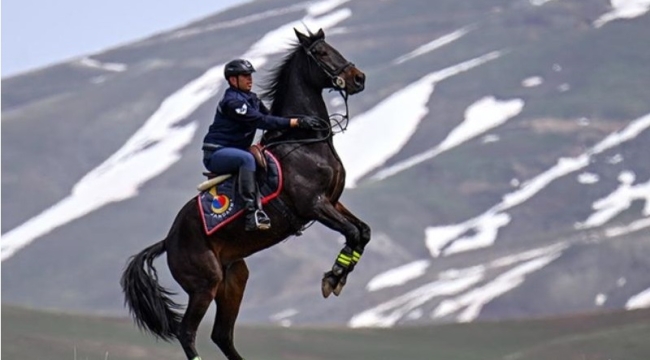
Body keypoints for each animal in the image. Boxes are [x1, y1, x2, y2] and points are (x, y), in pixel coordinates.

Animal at [119, 28, 368, 360]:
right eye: (322, 53)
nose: (358, 78)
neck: (305, 142)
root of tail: (168, 241)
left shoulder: (333, 202)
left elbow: (363, 232)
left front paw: (337, 277)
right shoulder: (314, 205)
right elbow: (352, 232)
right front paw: (333, 278)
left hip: (233, 279)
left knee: (222, 334)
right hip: (204, 284)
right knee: (187, 332)